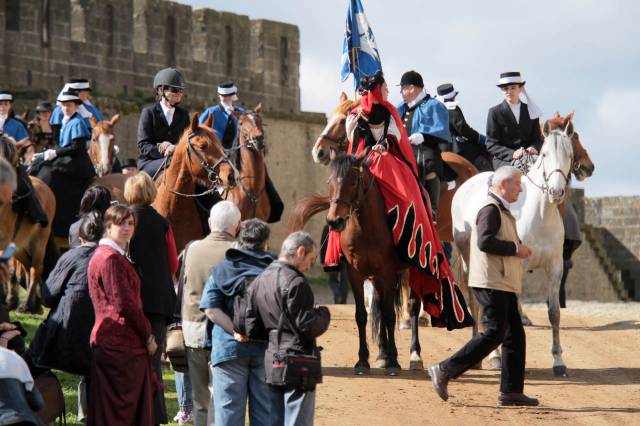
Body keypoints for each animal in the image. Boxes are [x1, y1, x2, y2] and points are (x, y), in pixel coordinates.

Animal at [0, 137, 56, 312]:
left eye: (13, 161)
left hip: (39, 241)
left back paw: (27, 304)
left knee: (35, 268)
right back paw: (32, 303)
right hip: (20, 245)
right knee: (26, 266)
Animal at [450, 118, 576, 374]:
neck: (539, 215)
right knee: (478, 303)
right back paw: (489, 356)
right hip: (471, 261)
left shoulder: (555, 268)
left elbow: (554, 313)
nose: (556, 192)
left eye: (568, 154)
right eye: (545, 154)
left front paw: (558, 361)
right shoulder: (517, 265)